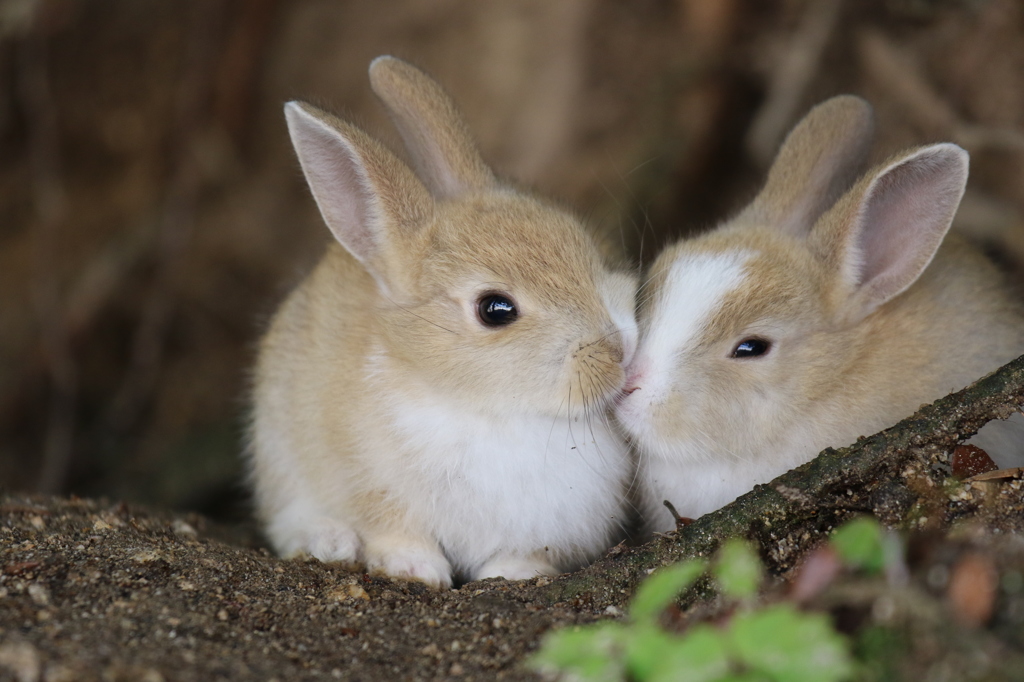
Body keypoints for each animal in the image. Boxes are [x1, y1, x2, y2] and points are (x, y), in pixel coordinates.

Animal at [245, 55, 638, 585]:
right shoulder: (371, 487)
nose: (620, 352)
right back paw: (331, 541)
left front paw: (513, 573)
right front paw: (416, 567)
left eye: (585, 246)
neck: (490, 410)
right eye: (495, 309)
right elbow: (393, 529)